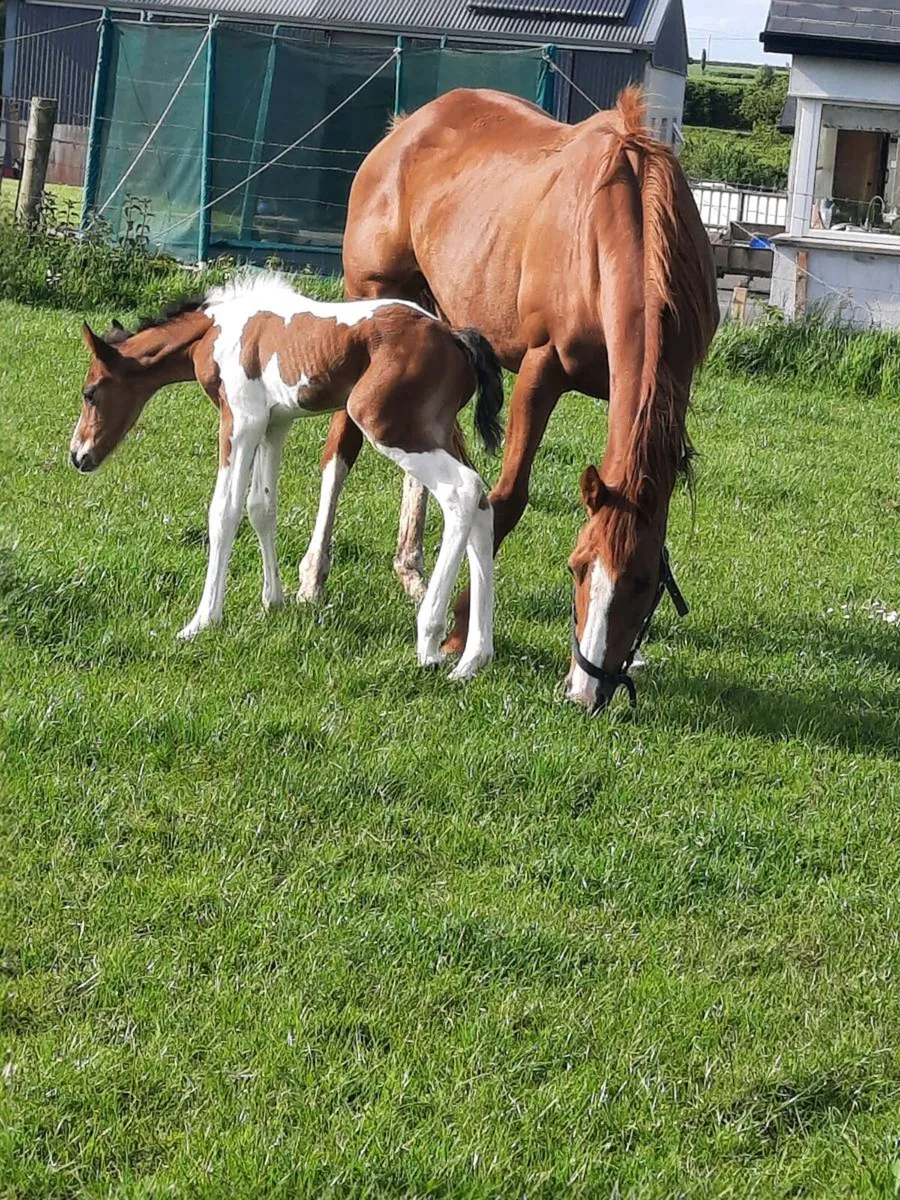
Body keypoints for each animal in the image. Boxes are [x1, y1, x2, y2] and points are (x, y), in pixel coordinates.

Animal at [69, 272, 504, 681]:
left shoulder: (241, 420)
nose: (78, 455)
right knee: (483, 507)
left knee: (463, 492)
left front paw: (202, 620)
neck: (219, 329)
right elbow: (261, 507)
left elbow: (224, 512)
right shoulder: (274, 424)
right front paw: (272, 601)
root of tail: (453, 337)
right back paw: (473, 659)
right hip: (437, 432)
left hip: (390, 427)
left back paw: (429, 642)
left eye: (90, 392)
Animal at [300, 86, 719, 712]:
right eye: (576, 568)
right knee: (343, 443)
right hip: (371, 304)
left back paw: (412, 570)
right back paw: (312, 578)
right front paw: (458, 631)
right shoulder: (541, 372)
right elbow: (509, 497)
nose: (585, 692)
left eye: (644, 584)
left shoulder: (676, 386)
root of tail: (405, 130)